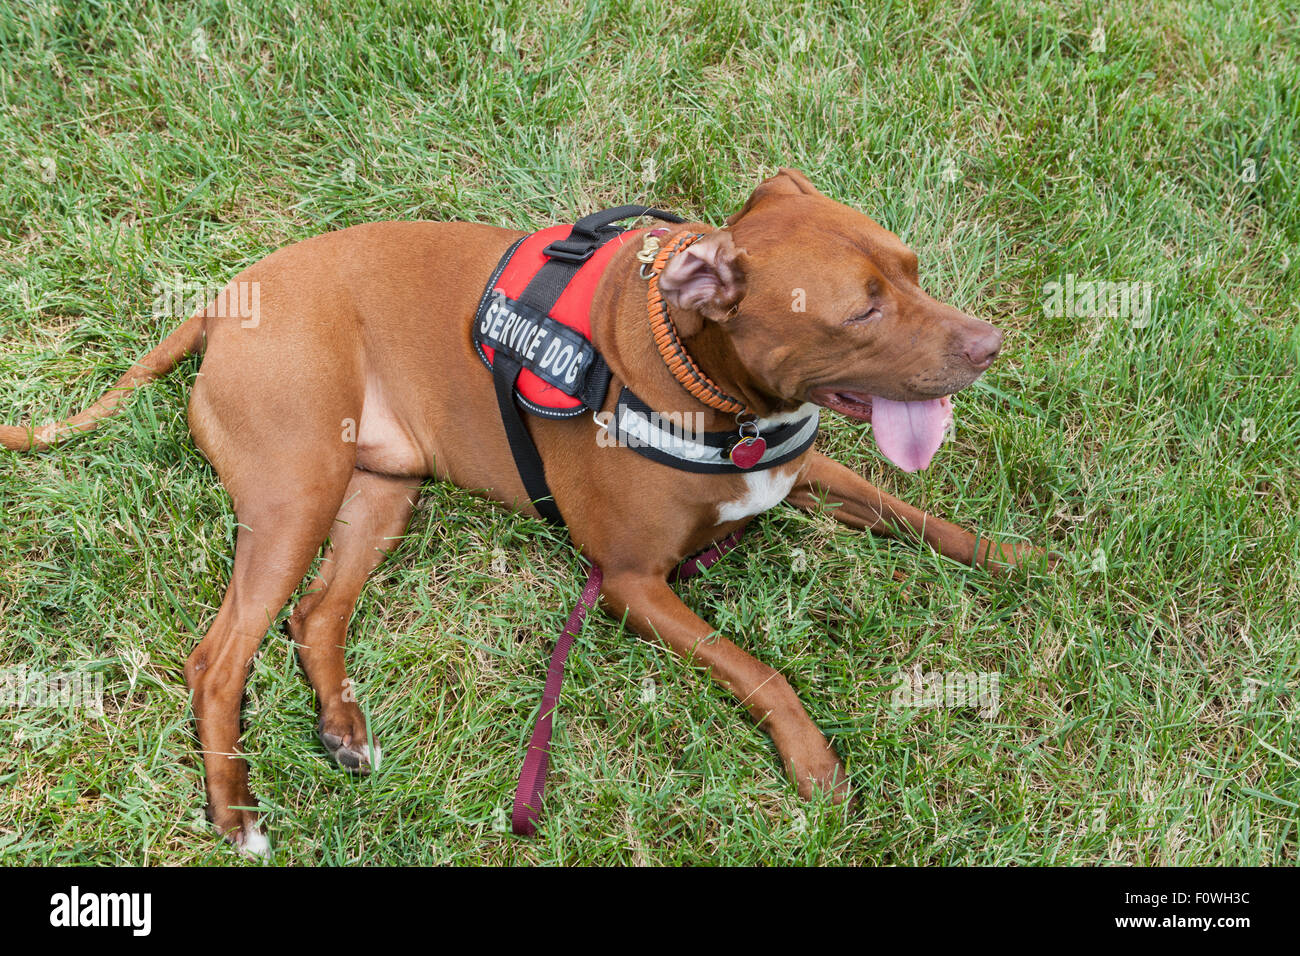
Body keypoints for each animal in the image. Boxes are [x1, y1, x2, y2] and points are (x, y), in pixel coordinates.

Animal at [0, 170, 1034, 853]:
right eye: (861, 312)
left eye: (911, 267)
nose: (990, 345)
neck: (706, 384)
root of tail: (225, 302)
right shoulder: (631, 585)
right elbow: (758, 670)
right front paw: (814, 762)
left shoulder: (802, 469)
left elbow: (915, 514)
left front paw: (1021, 559)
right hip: (295, 494)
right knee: (219, 655)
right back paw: (235, 811)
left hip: (376, 495)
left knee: (315, 614)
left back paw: (343, 729)